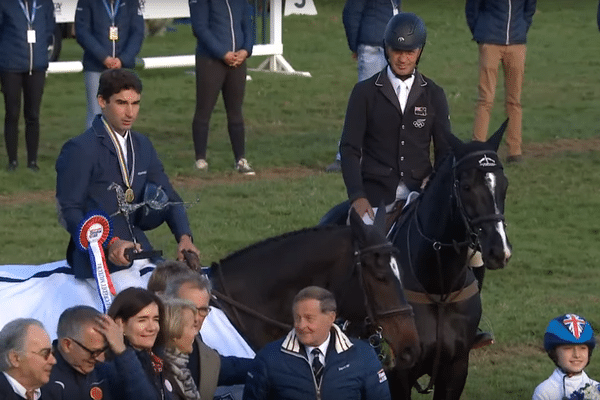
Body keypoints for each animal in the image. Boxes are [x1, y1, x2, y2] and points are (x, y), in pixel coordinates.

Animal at [386, 122, 512, 400]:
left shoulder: (456, 369)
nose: (500, 251)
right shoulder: (398, 374)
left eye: (504, 185)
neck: (436, 284)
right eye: (466, 187)